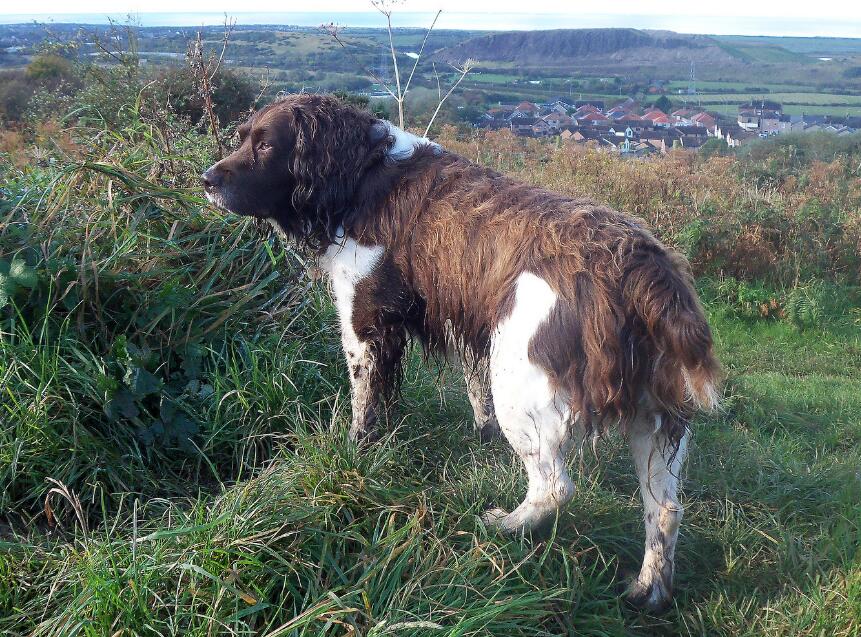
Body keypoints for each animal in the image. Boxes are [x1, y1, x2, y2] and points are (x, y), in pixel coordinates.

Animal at [202, 93, 720, 612]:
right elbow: (468, 391)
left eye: (266, 145)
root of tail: (642, 269)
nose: (207, 180)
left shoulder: (366, 323)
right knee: (665, 509)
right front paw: (473, 433)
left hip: (522, 385)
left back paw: (504, 526)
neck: (362, 176)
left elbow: (364, 404)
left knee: (555, 487)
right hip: (656, 420)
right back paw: (649, 590)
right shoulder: (461, 321)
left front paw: (355, 450)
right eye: (242, 137)